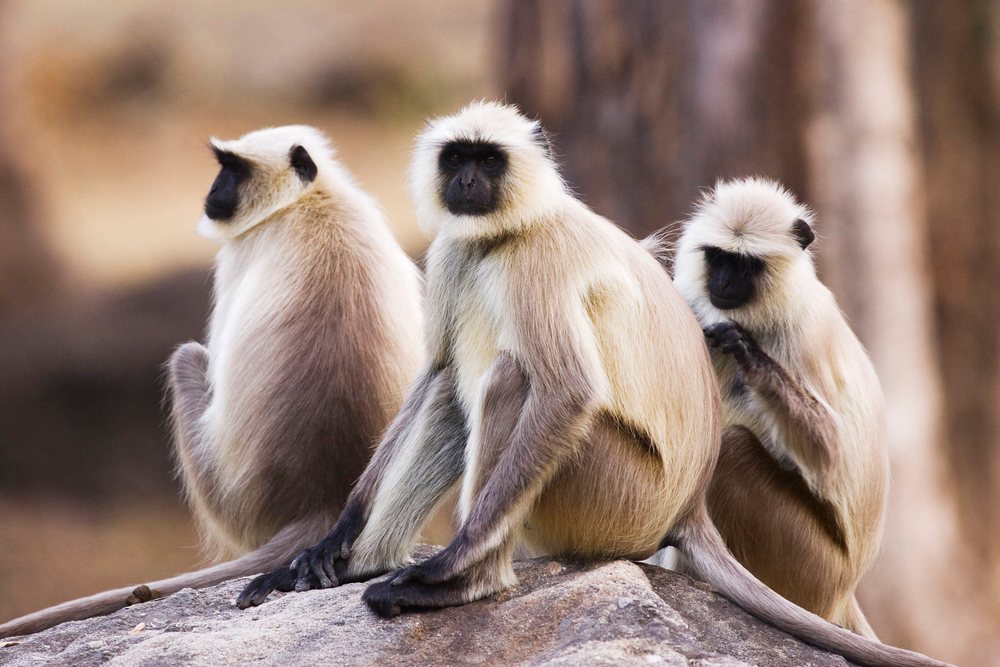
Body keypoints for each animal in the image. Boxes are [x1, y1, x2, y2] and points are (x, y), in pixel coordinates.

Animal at [0, 125, 424, 638]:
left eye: (233, 169)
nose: (213, 190)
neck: (310, 201)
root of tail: (322, 501)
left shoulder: (237, 256)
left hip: (228, 496)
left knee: (188, 357)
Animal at [666, 176, 889, 639]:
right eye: (718, 258)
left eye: (745, 266)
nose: (723, 283)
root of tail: (846, 591)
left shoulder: (803, 330)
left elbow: (830, 451)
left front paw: (745, 349)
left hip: (813, 568)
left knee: (733, 450)